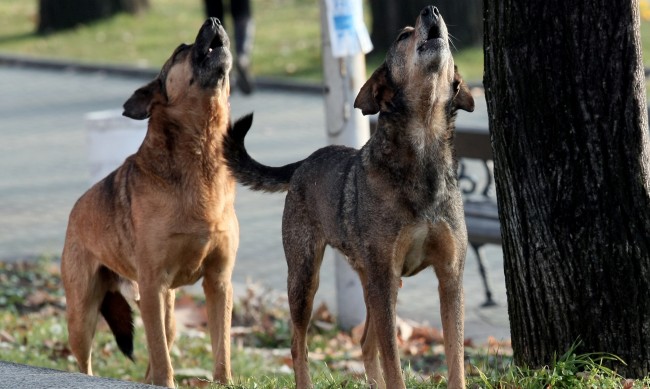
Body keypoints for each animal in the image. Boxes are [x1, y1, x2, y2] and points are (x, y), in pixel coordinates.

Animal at [60, 17, 235, 384]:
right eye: (181, 51)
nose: (214, 20)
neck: (201, 156)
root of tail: (75, 210)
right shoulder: (153, 285)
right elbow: (161, 357)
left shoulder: (219, 282)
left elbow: (221, 350)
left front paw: (225, 383)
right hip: (82, 314)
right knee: (88, 362)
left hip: (167, 312)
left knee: (156, 355)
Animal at [225, 6, 474, 388]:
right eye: (403, 36)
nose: (430, 10)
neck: (422, 157)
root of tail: (303, 162)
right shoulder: (385, 279)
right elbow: (393, 364)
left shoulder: (449, 275)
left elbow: (455, 359)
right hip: (306, 278)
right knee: (299, 345)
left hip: (375, 282)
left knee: (365, 343)